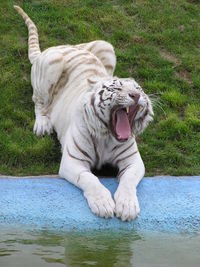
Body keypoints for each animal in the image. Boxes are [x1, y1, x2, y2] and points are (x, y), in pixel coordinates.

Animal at [14, 5, 153, 222]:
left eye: (138, 88)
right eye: (118, 88)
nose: (137, 95)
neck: (107, 137)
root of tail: (58, 47)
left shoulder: (133, 160)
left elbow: (129, 180)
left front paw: (127, 206)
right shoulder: (73, 161)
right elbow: (90, 179)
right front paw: (103, 204)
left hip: (106, 47)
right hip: (52, 64)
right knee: (38, 101)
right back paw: (43, 124)